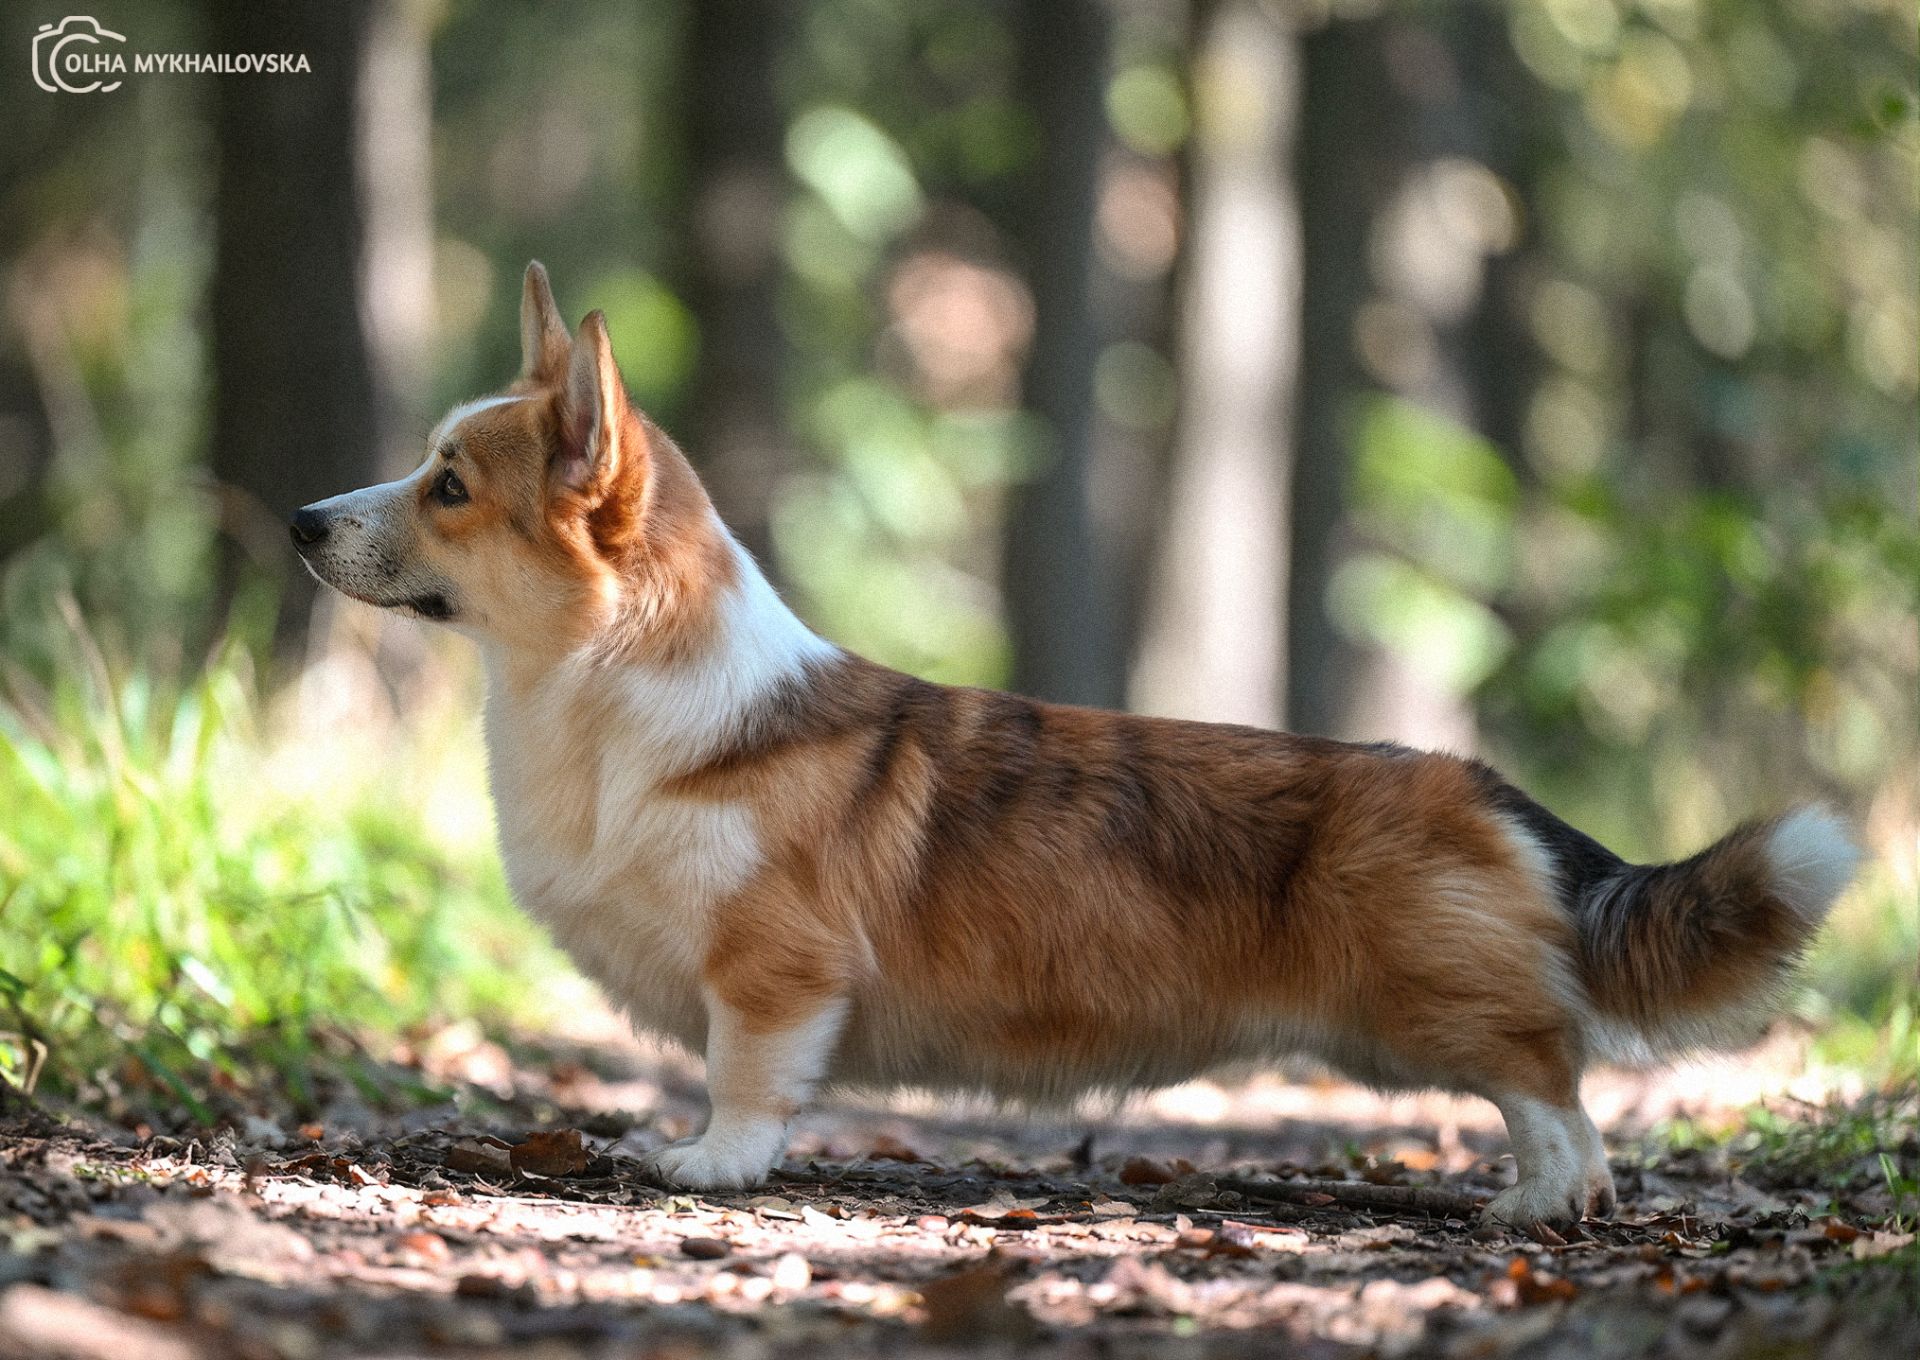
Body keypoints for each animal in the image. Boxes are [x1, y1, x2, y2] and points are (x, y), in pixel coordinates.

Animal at [291, 261, 1866, 1229]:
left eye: (447, 486)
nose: (301, 519)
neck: (615, 692)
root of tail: (1479, 785)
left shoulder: (775, 974)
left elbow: (746, 1082)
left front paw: (706, 1165)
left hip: (1435, 1002)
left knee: (1556, 1080)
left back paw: (1545, 1203)